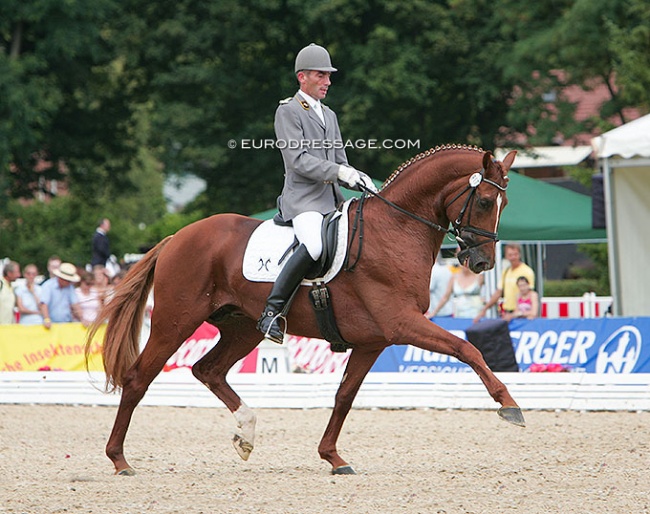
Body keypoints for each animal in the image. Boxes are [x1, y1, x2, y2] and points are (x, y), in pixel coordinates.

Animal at [86, 142, 520, 474]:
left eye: (505, 202)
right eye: (484, 201)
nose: (482, 262)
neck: (396, 229)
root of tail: (177, 236)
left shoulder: (373, 341)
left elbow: (344, 396)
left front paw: (333, 457)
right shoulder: (402, 324)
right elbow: (467, 348)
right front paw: (509, 405)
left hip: (243, 327)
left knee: (207, 370)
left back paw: (246, 433)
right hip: (174, 322)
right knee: (139, 378)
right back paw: (120, 460)